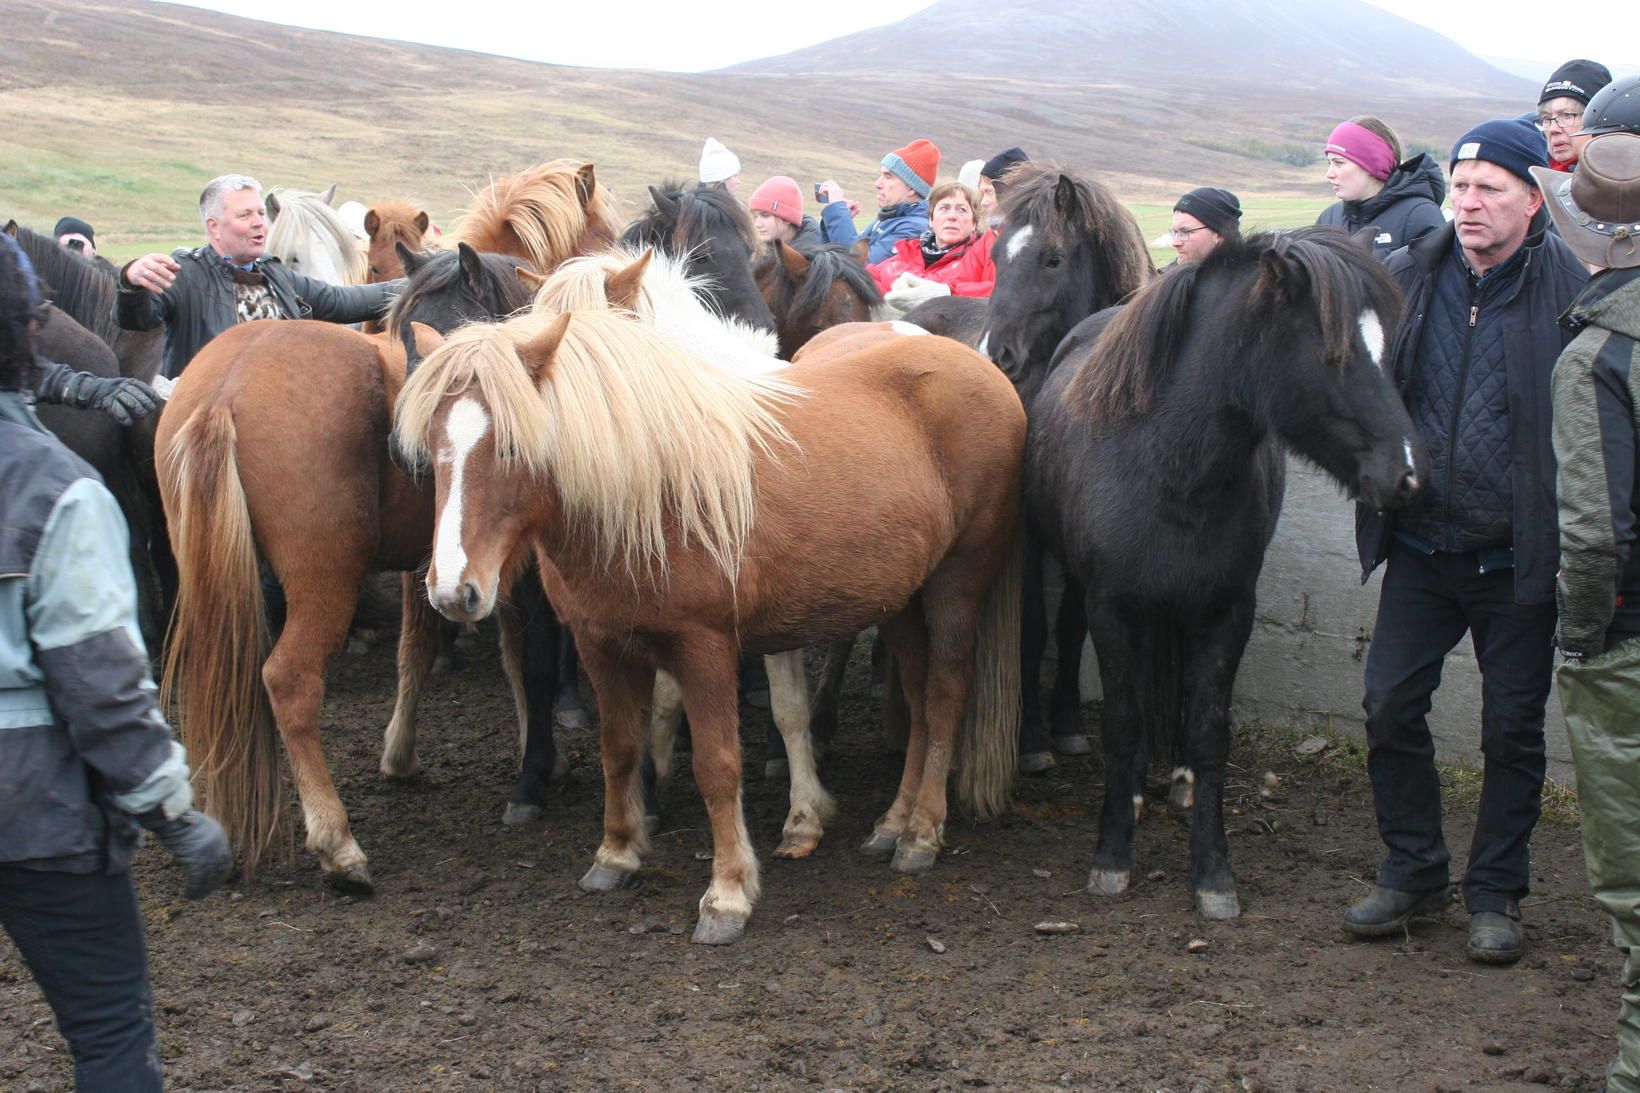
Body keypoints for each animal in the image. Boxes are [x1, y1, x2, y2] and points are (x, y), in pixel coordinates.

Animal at [159, 164, 619, 892]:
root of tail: (223, 390)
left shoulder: (444, 561)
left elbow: (423, 648)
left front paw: (403, 753)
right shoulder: (509, 563)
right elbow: (526, 655)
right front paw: (534, 762)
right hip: (324, 575)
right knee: (288, 679)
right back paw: (337, 842)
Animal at [390, 292, 1016, 945]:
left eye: (512, 447)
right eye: (432, 447)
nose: (453, 591)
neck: (651, 494)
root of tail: (981, 367)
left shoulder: (705, 649)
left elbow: (718, 766)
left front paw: (728, 894)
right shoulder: (600, 644)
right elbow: (620, 748)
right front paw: (616, 854)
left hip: (956, 583)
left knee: (944, 695)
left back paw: (921, 833)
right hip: (900, 599)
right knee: (918, 697)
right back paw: (893, 823)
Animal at [898, 165, 1154, 771]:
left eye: (1053, 259)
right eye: (998, 257)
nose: (997, 354)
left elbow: (1073, 623)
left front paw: (1067, 723)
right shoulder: (1030, 530)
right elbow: (1035, 625)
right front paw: (1034, 737)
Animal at [1023, 229, 1423, 919]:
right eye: (1335, 353)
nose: (1406, 475)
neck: (1164, 461)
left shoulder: (1226, 609)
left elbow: (1210, 731)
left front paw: (1213, 872)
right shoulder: (1114, 606)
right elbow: (1123, 724)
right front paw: (1112, 856)